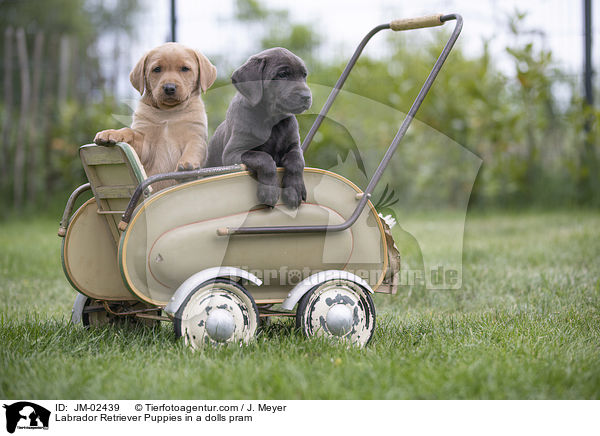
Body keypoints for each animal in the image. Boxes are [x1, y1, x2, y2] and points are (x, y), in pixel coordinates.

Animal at [94, 42, 216, 189]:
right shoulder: (145, 145)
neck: (169, 113)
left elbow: (194, 147)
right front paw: (112, 133)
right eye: (157, 69)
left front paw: (188, 165)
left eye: (185, 69)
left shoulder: (196, 136)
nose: (169, 88)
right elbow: (128, 131)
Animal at [206, 46, 312, 209]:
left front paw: (294, 190)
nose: (307, 96)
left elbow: (297, 161)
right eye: (282, 74)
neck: (272, 122)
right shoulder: (233, 153)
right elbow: (264, 158)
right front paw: (269, 192)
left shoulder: (295, 146)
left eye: (304, 75)